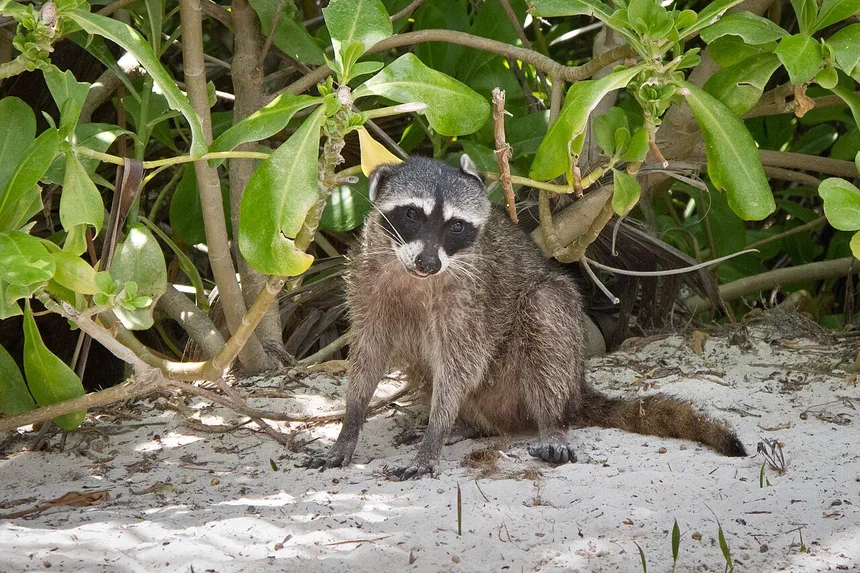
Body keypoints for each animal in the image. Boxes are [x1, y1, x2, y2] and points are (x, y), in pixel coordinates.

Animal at [308, 156, 746, 479]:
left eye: (456, 226)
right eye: (412, 215)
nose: (429, 263)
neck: (415, 276)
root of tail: (578, 388)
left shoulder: (472, 298)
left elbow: (460, 365)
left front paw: (435, 433)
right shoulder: (366, 280)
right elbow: (368, 353)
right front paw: (351, 424)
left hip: (534, 369)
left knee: (545, 307)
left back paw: (547, 420)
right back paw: (467, 425)